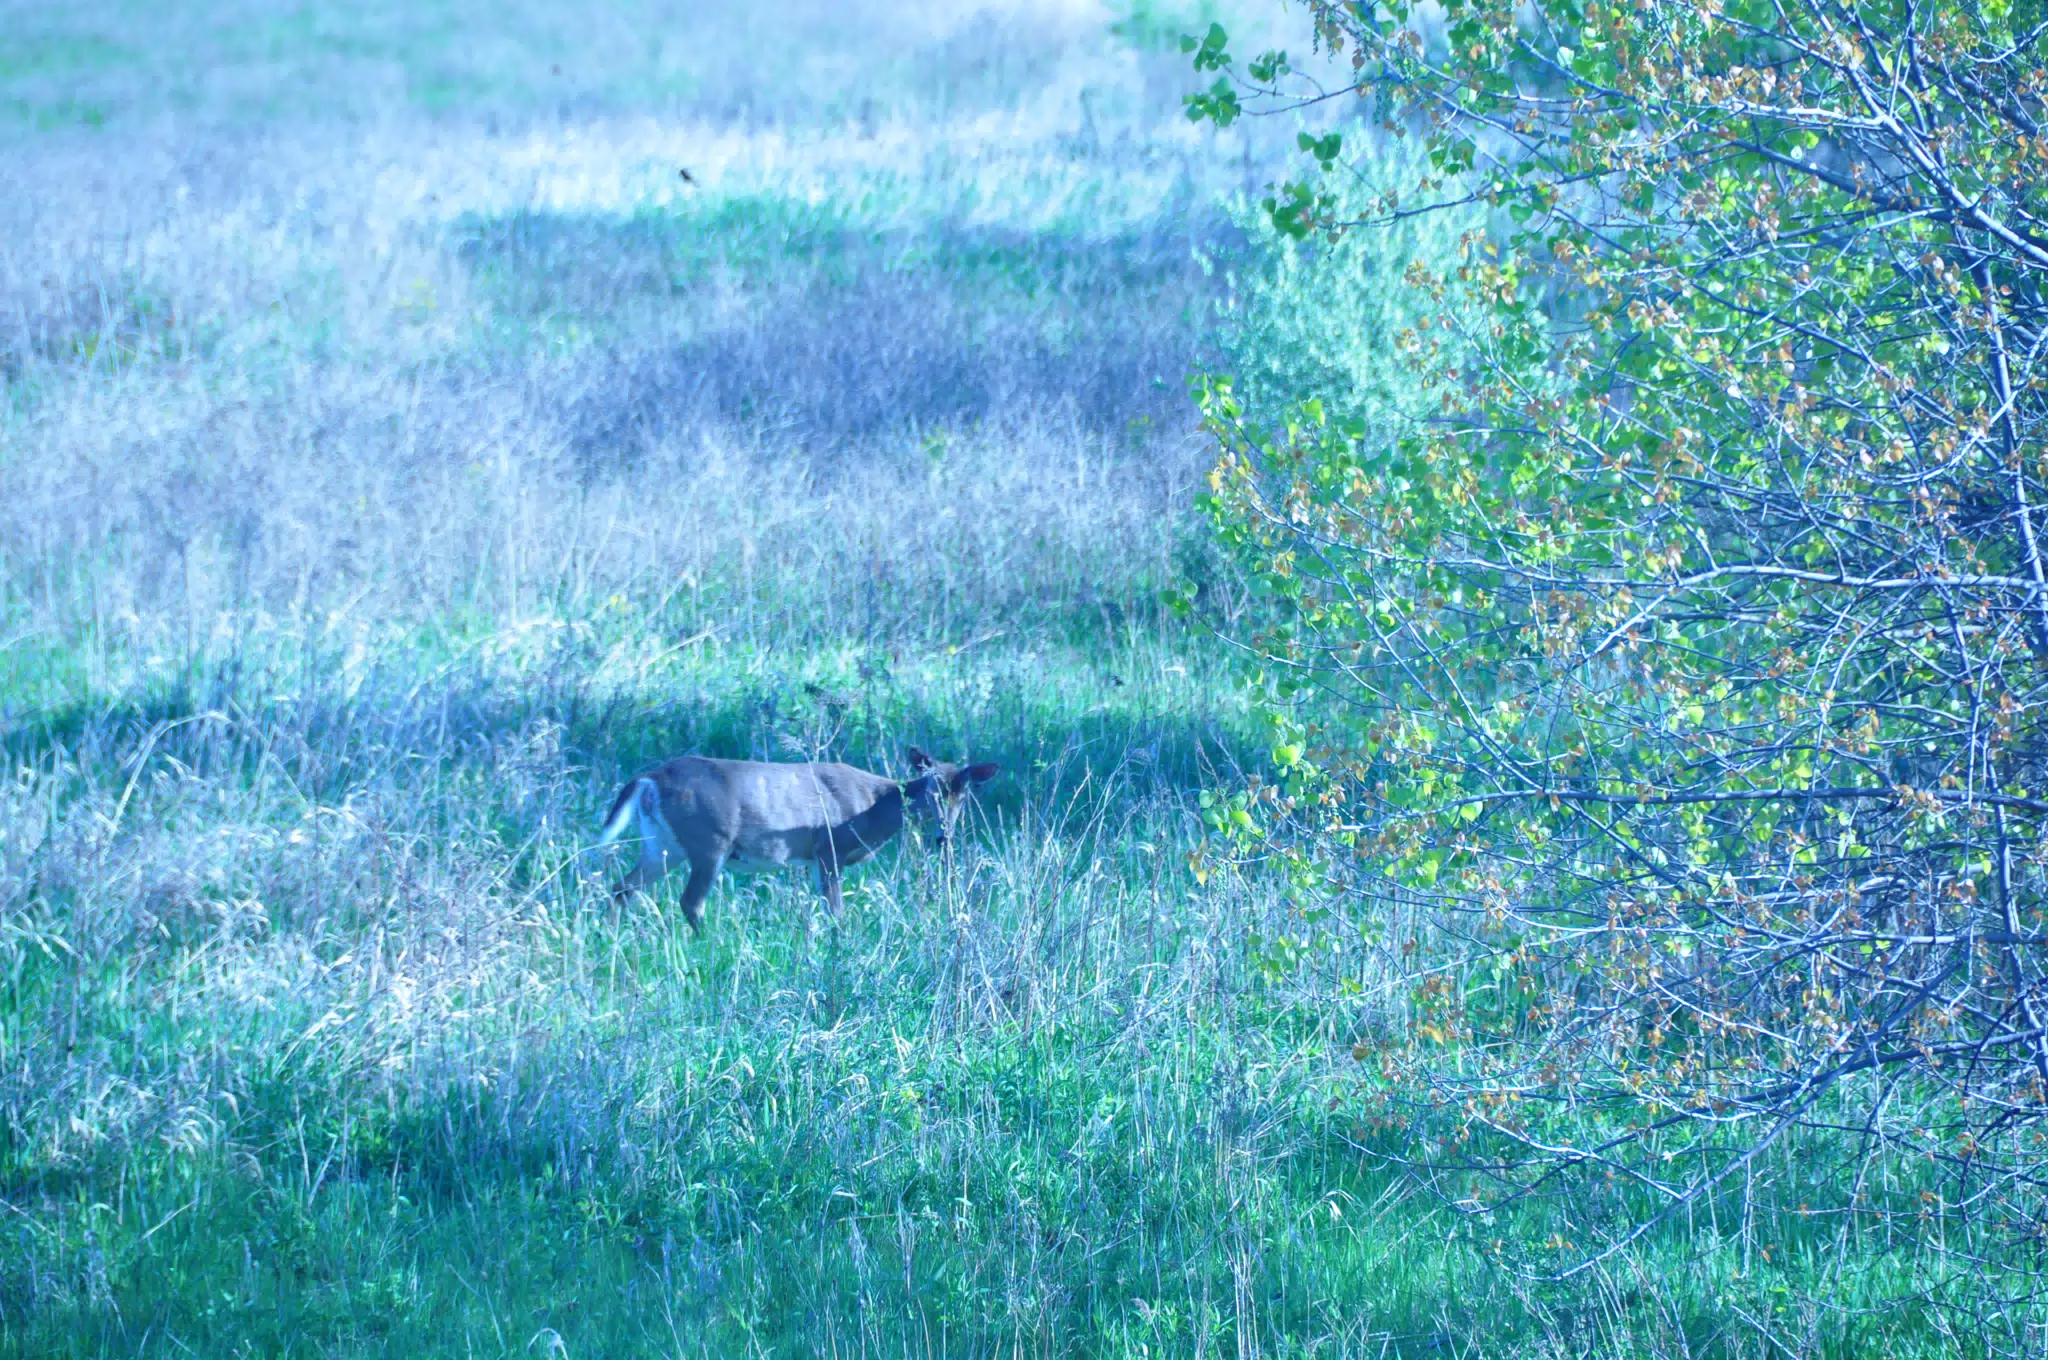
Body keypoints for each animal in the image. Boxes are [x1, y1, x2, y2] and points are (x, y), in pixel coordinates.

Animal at [590, 748, 998, 932]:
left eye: (964, 796)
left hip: (662, 843)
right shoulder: (828, 847)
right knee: (691, 900)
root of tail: (650, 779)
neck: (873, 805)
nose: (943, 836)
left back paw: (608, 936)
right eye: (932, 788)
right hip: (710, 840)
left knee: (621, 886)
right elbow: (836, 909)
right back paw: (709, 941)